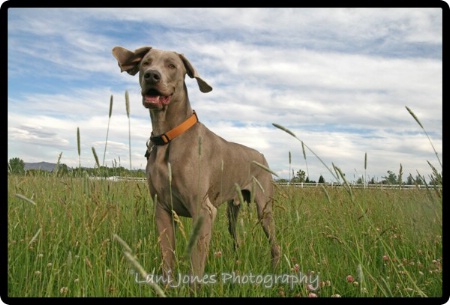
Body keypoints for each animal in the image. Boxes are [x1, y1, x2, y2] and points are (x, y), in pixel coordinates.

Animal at [112, 45, 280, 284]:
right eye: (146, 62)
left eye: (172, 65)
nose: (151, 76)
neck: (168, 137)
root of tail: (262, 155)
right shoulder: (162, 210)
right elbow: (168, 262)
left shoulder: (203, 211)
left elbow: (195, 271)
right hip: (232, 211)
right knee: (237, 238)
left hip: (264, 208)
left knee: (274, 244)